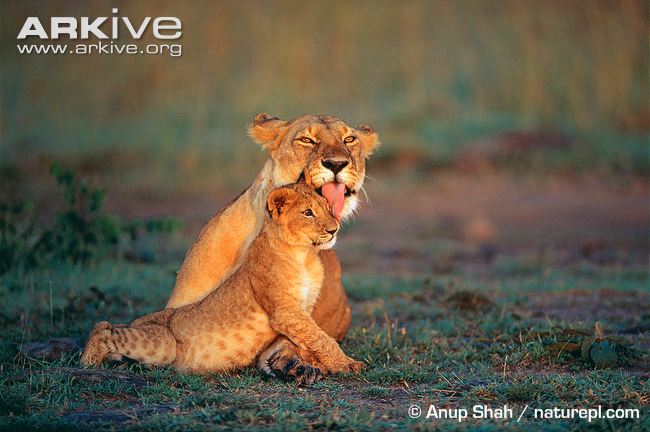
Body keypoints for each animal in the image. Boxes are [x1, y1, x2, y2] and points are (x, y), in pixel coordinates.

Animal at [81, 183, 365, 376]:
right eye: (308, 213)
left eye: (328, 209)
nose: (333, 229)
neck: (305, 255)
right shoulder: (285, 311)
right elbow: (322, 338)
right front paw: (348, 364)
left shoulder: (301, 310)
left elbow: (304, 341)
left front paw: (306, 365)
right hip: (162, 344)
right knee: (104, 326)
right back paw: (88, 361)